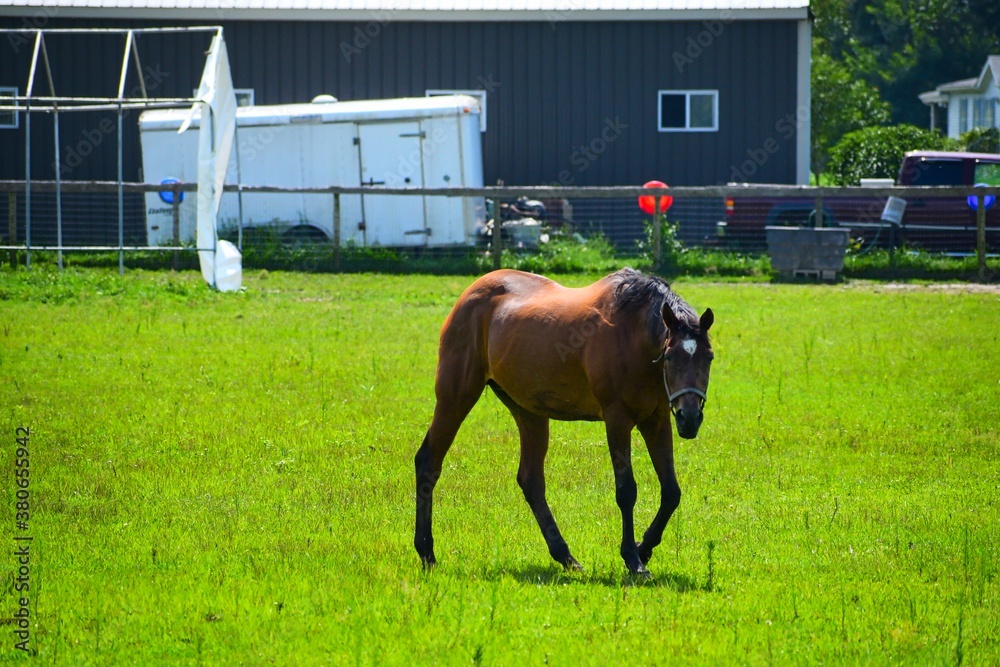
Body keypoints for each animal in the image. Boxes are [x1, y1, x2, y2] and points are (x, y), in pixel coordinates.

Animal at [412, 268, 712, 576]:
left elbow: (671, 491)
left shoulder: (657, 419)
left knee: (531, 480)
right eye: (670, 356)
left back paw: (565, 556)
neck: (633, 336)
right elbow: (626, 491)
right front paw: (632, 558)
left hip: (528, 411)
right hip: (456, 396)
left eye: (709, 357)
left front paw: (644, 548)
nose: (690, 418)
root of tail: (469, 294)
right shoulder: (617, 419)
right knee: (428, 461)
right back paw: (426, 552)